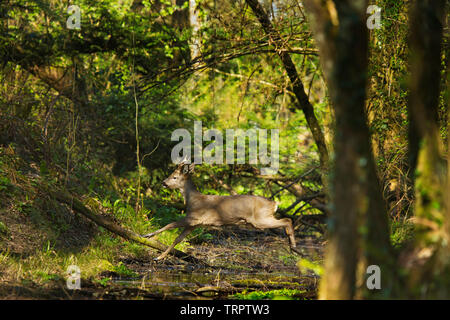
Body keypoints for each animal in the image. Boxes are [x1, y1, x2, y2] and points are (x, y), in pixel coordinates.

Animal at [142, 161, 298, 262]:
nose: (163, 182)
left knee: (287, 220)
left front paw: (147, 235)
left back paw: (294, 246)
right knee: (287, 221)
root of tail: (274, 203)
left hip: (260, 219)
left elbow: (170, 224)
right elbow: (177, 239)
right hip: (261, 219)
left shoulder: (194, 217)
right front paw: (159, 256)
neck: (192, 200)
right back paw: (292, 247)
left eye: (174, 177)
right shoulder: (195, 224)